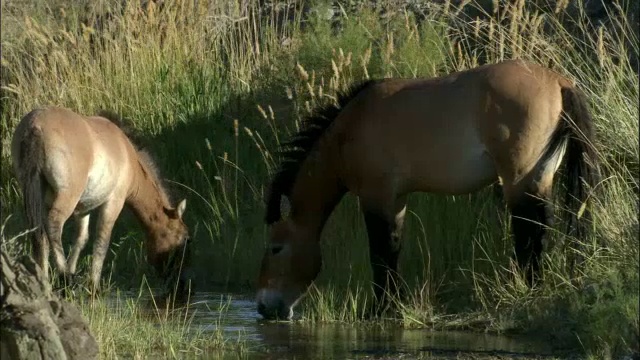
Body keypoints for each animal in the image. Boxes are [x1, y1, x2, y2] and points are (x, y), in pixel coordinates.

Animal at [11, 105, 191, 296]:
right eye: (186, 238)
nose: (182, 284)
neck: (128, 155)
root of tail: (35, 126)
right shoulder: (113, 203)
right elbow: (101, 242)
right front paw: (93, 286)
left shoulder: (83, 209)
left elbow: (81, 239)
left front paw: (74, 273)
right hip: (66, 198)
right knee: (53, 226)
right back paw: (65, 278)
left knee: (39, 235)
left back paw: (45, 283)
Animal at [255, 59, 600, 320]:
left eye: (275, 248)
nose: (262, 307)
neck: (349, 130)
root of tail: (559, 82)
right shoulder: (396, 199)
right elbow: (393, 248)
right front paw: (393, 305)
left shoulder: (376, 197)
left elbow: (380, 253)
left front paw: (380, 309)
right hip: (539, 178)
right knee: (539, 229)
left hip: (519, 180)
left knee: (530, 233)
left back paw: (531, 288)